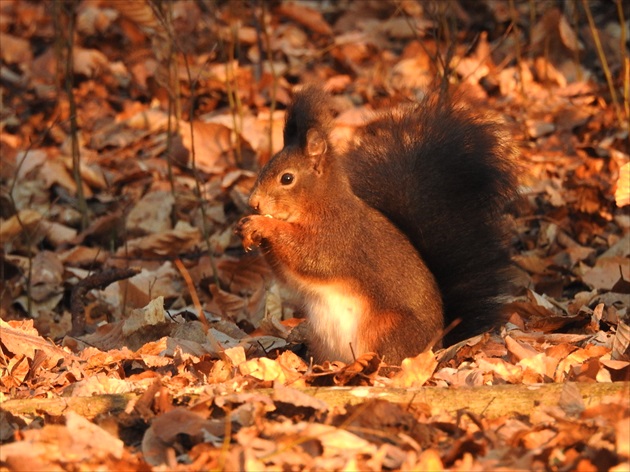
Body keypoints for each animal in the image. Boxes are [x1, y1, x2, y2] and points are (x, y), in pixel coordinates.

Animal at [237, 85, 520, 366]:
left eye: (287, 178)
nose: (253, 203)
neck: (319, 204)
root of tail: (436, 348)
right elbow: (287, 274)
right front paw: (246, 229)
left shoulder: (337, 235)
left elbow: (310, 256)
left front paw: (262, 226)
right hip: (321, 338)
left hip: (387, 330)